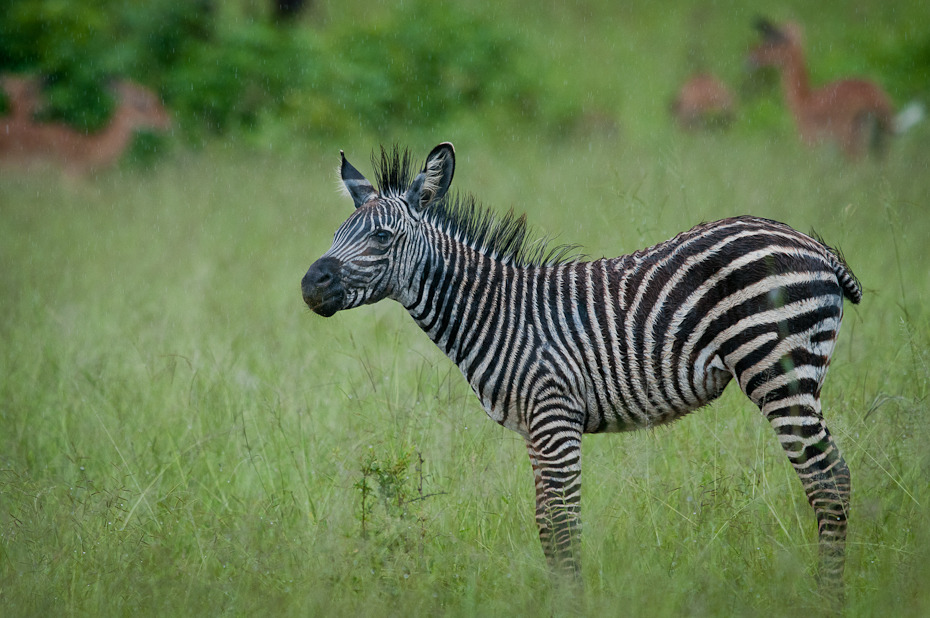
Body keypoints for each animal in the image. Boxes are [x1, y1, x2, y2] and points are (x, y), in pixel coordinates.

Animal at [300, 141, 860, 596]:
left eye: (382, 237)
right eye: (338, 233)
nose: (309, 285)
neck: (496, 312)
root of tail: (812, 244)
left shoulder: (554, 415)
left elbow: (563, 526)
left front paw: (570, 603)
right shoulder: (535, 427)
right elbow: (548, 525)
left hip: (779, 371)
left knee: (828, 478)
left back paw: (828, 598)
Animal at [748, 20, 892, 158]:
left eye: (771, 42)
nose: (750, 56)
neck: (804, 100)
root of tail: (877, 99)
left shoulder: (811, 145)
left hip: (851, 144)